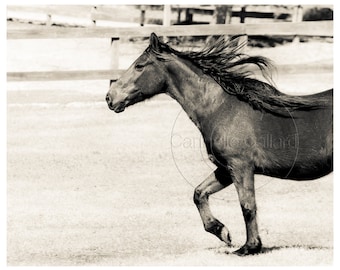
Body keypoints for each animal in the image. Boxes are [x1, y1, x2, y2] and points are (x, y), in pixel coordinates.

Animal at [105, 33, 332, 255]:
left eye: (139, 65)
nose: (110, 97)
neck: (222, 108)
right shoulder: (225, 169)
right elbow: (199, 193)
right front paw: (222, 232)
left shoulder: (240, 167)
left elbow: (247, 206)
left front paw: (249, 247)